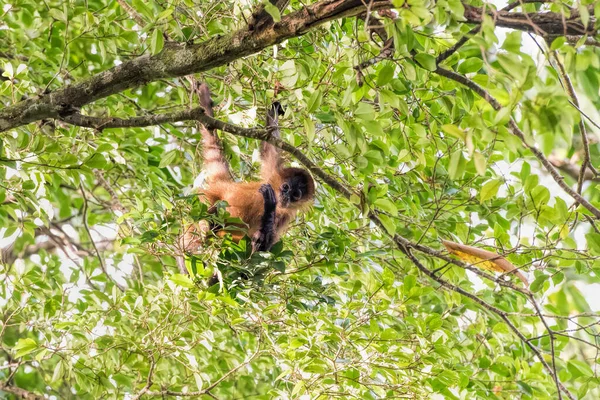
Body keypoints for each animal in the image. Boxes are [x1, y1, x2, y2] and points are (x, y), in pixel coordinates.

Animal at [177, 81, 314, 276]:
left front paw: (270, 209)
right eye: (286, 187)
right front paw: (274, 110)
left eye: (296, 196)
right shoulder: (273, 173)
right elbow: (270, 147)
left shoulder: (285, 215)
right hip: (209, 198)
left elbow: (263, 247)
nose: (285, 197)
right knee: (204, 221)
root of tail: (226, 184)